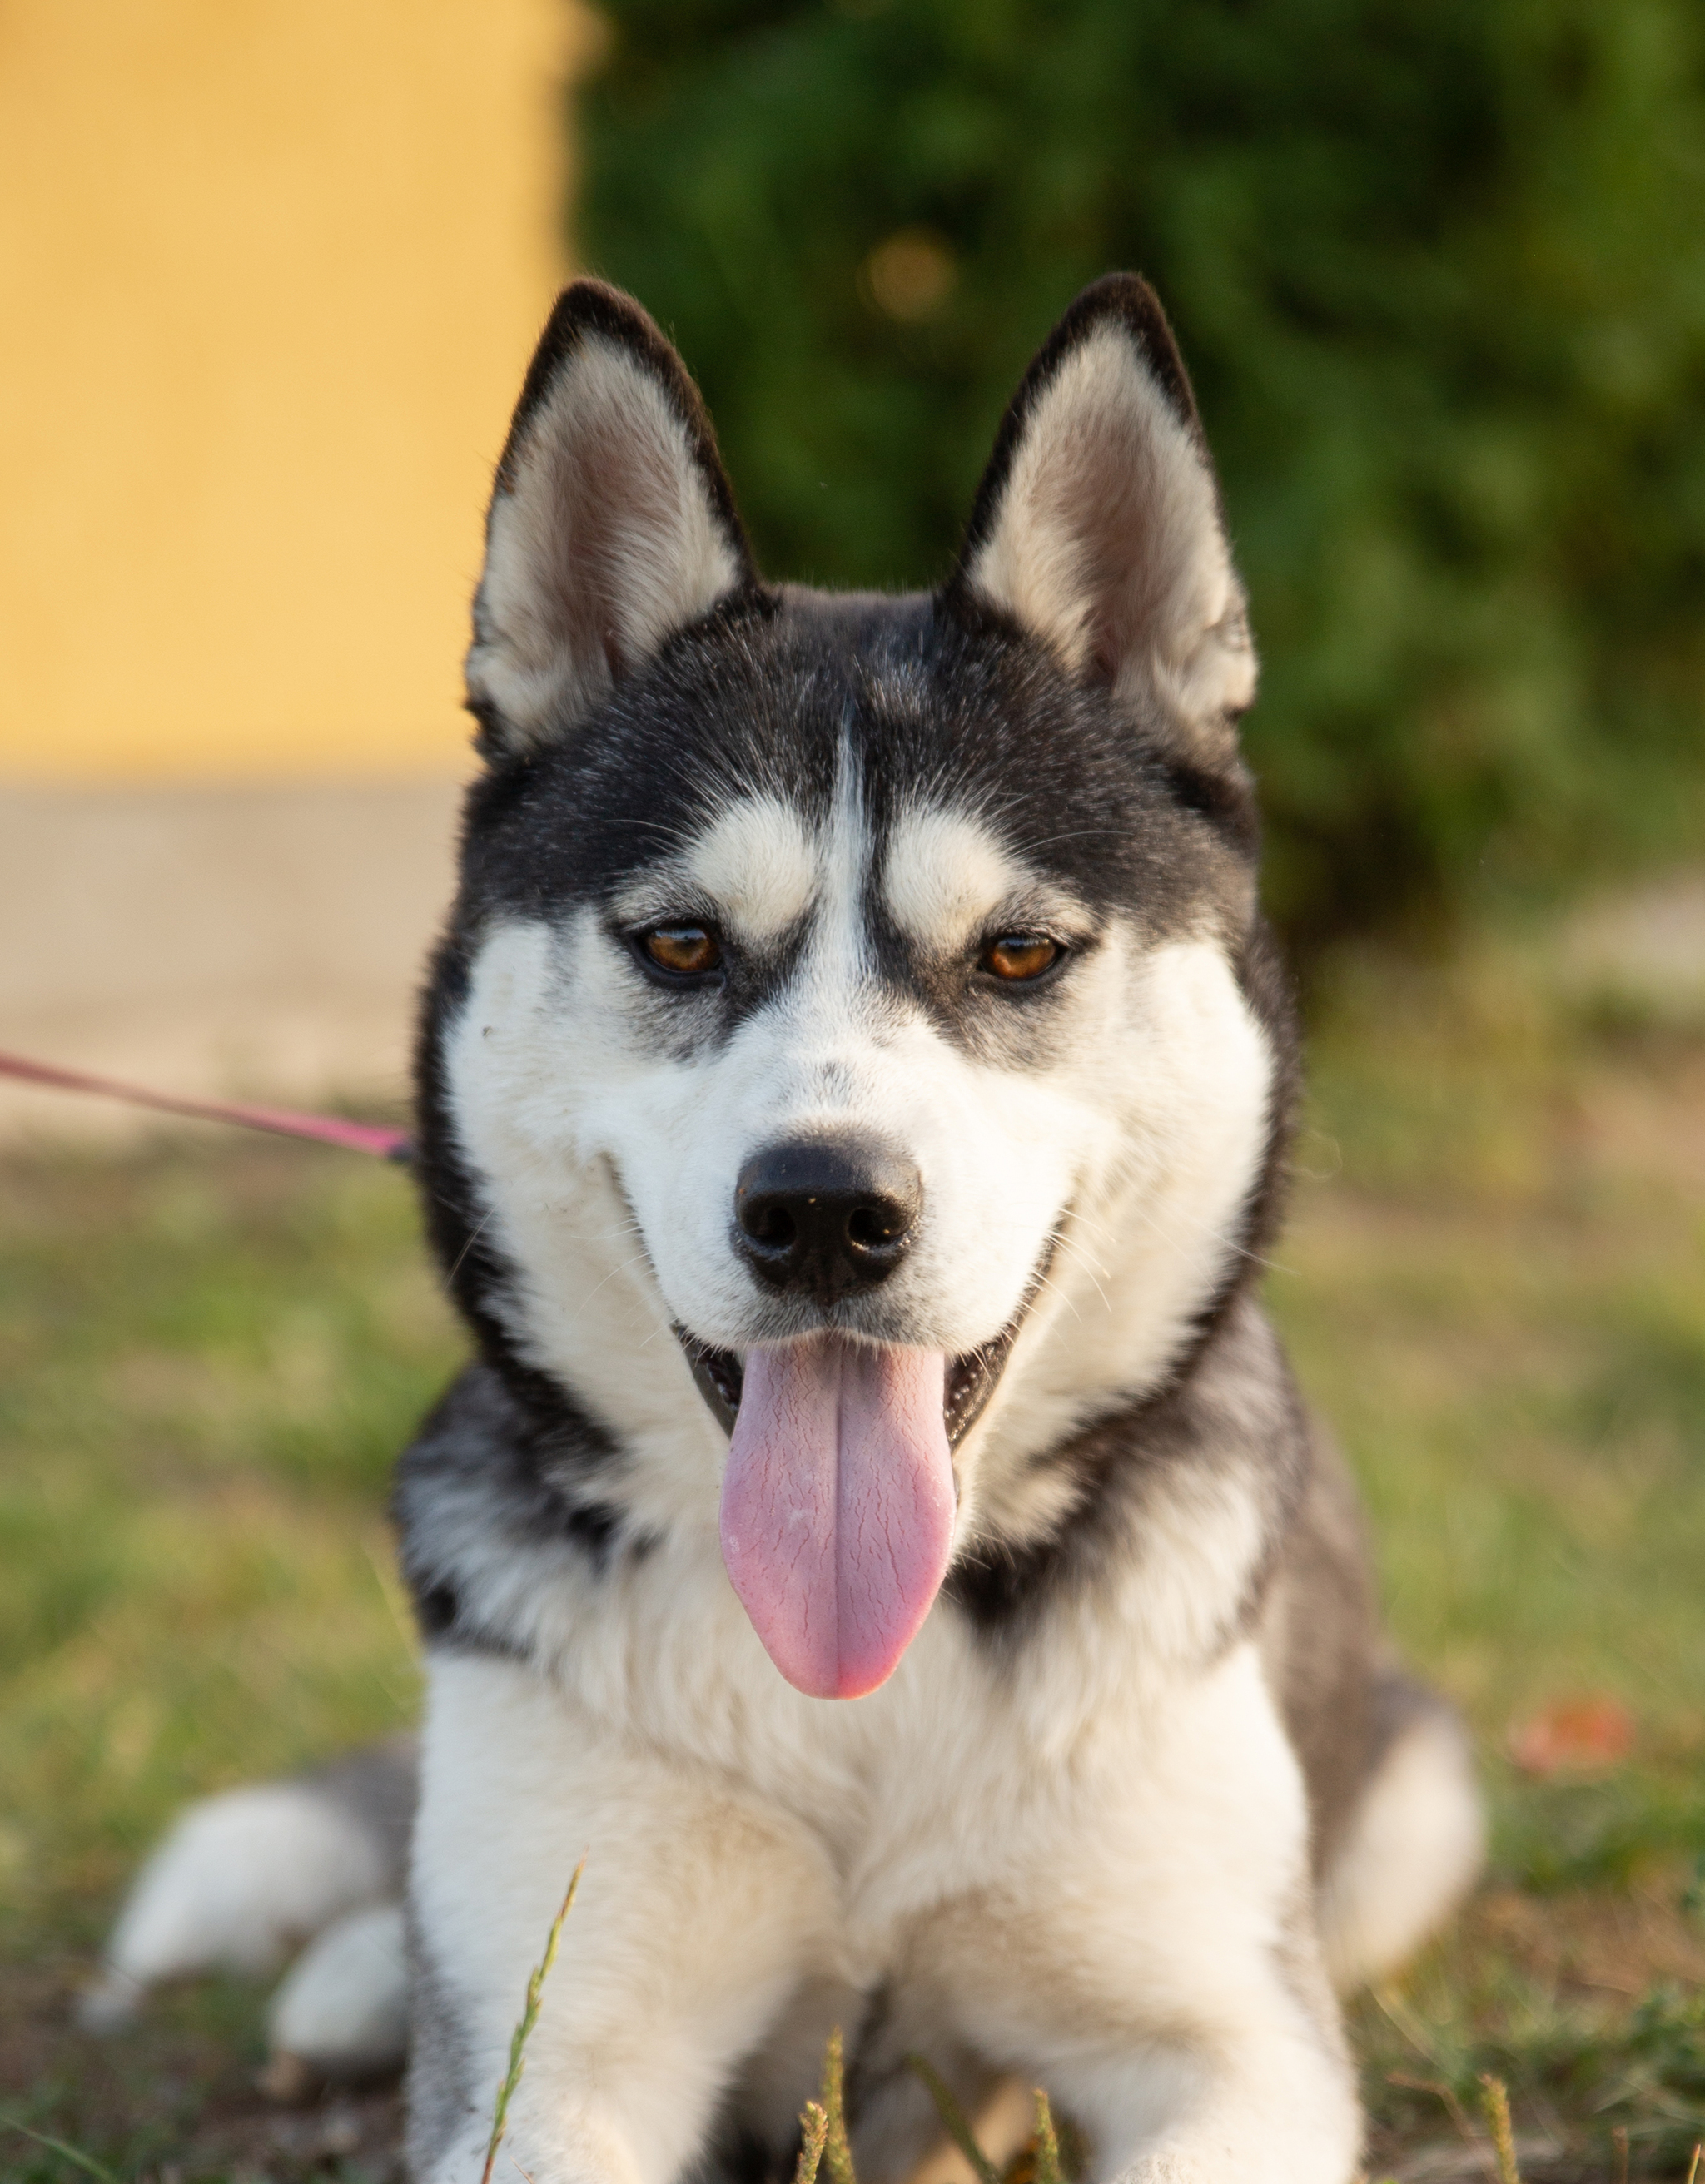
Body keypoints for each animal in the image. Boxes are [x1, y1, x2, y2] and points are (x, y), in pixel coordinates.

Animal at [90, 281, 1477, 2175]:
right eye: (681, 942)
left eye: (1018, 952)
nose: (825, 1209)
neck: (863, 1688)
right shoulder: (558, 2053)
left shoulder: (1233, 2049)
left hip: (1418, 1798)